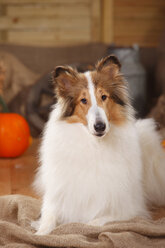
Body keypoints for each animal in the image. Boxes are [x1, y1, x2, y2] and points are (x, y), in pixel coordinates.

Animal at [33, 55, 165, 235]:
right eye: (83, 100)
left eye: (104, 97)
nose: (100, 126)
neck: (94, 145)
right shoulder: (55, 198)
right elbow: (48, 217)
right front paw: (40, 233)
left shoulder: (127, 208)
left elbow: (93, 222)